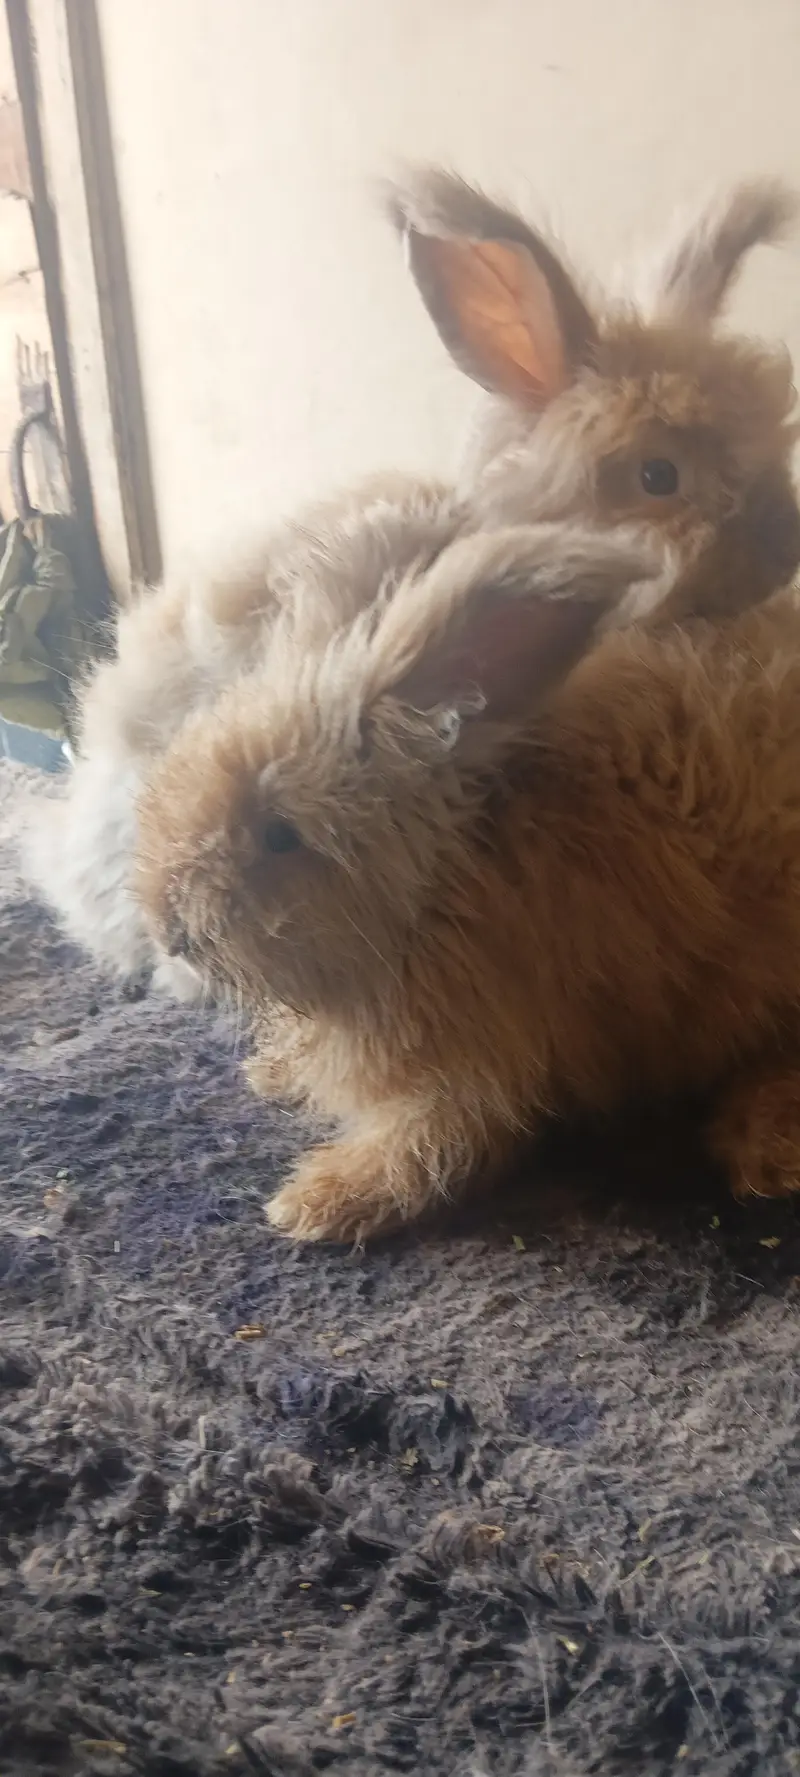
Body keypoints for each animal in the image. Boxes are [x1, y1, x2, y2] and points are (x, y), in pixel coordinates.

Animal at [133, 494, 800, 1247]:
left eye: (280, 834)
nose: (167, 929)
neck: (444, 879)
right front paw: (273, 1074)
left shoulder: (486, 1065)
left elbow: (435, 1146)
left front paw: (316, 1203)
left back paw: (767, 1151)